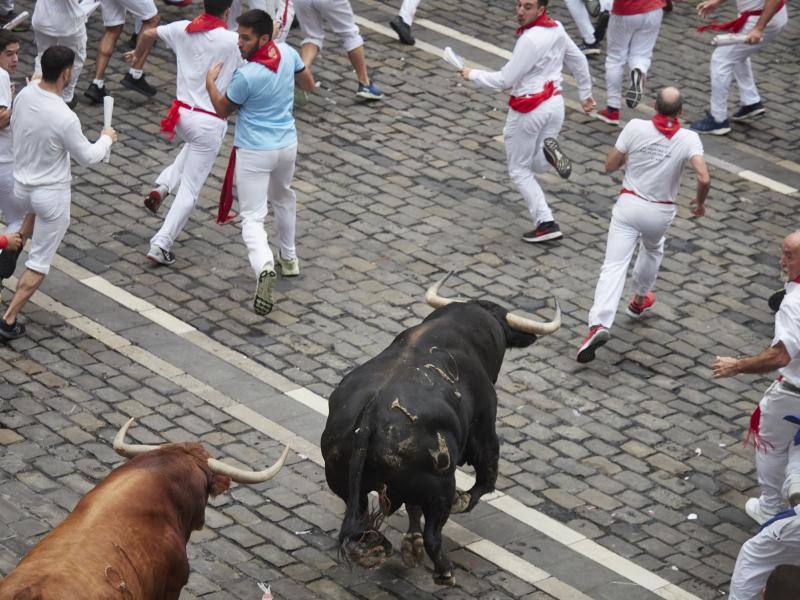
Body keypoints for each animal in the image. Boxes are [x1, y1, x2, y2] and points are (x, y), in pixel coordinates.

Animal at [322, 278, 560, 588]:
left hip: (345, 483)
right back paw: (444, 570)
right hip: (440, 486)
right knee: (434, 534)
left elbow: (413, 509)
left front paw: (411, 544)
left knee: (363, 524)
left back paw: (387, 548)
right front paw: (461, 502)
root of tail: (370, 416)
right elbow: (486, 479)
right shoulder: (485, 431)